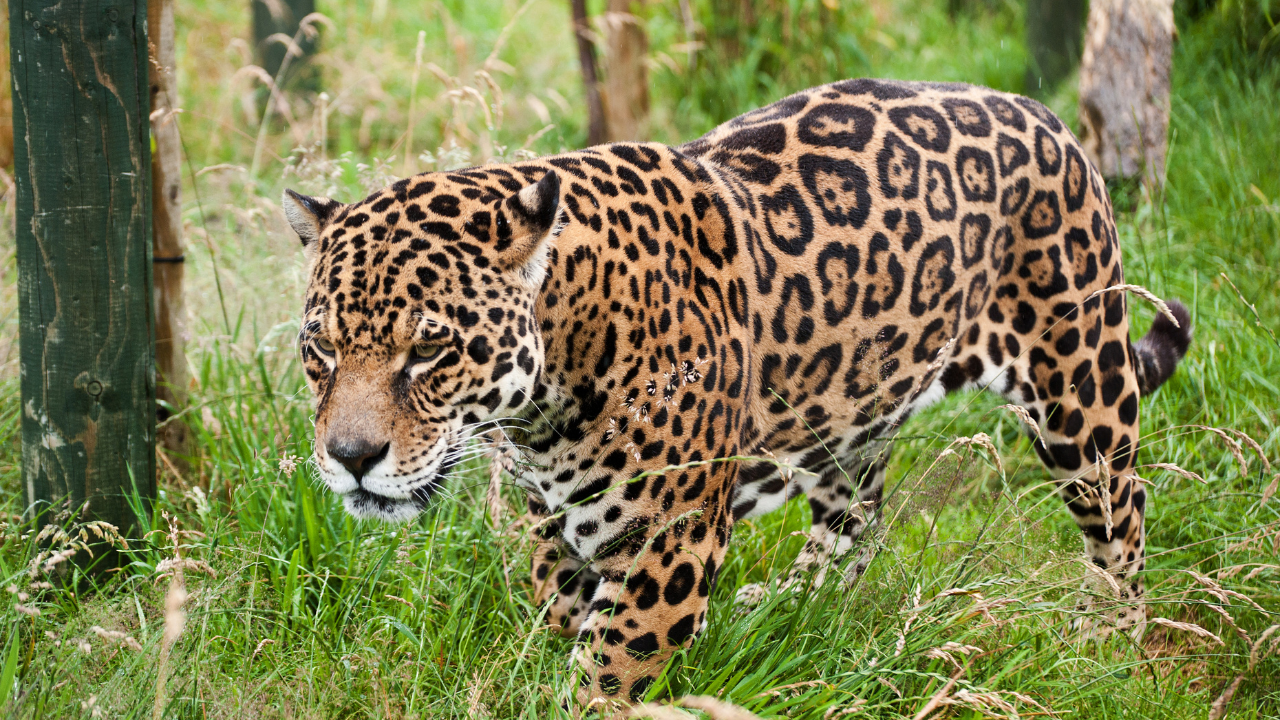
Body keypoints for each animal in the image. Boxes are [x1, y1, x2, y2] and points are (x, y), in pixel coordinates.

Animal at [283, 78, 1191, 709]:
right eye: (321, 350)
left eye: (429, 350)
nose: (351, 458)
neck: (550, 387)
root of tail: (1046, 115)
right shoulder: (552, 523)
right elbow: (560, 620)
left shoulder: (665, 542)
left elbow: (605, 672)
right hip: (845, 413)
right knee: (857, 522)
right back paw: (785, 603)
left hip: (1078, 385)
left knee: (1123, 509)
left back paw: (1112, 641)